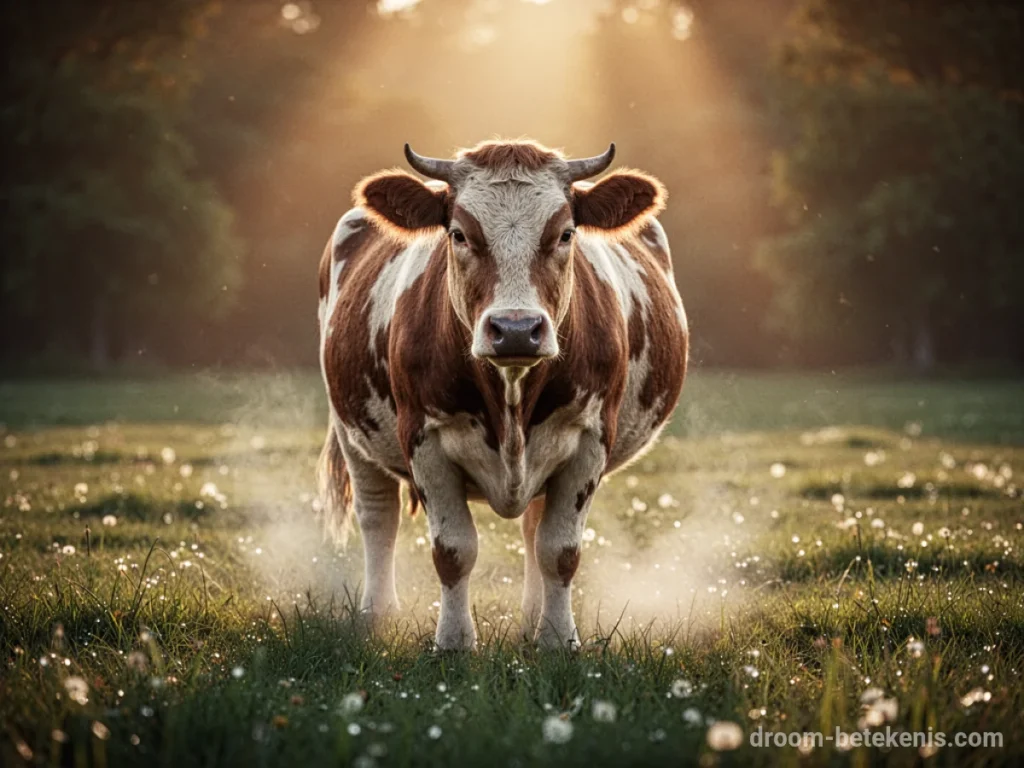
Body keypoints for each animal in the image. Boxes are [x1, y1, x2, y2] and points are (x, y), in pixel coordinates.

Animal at [317, 139, 687, 650]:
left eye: (566, 233)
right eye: (458, 234)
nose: (516, 330)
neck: (510, 395)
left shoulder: (589, 439)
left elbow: (559, 550)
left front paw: (557, 640)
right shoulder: (424, 439)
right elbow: (453, 551)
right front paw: (454, 643)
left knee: (533, 528)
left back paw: (532, 619)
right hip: (351, 429)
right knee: (377, 517)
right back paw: (377, 614)